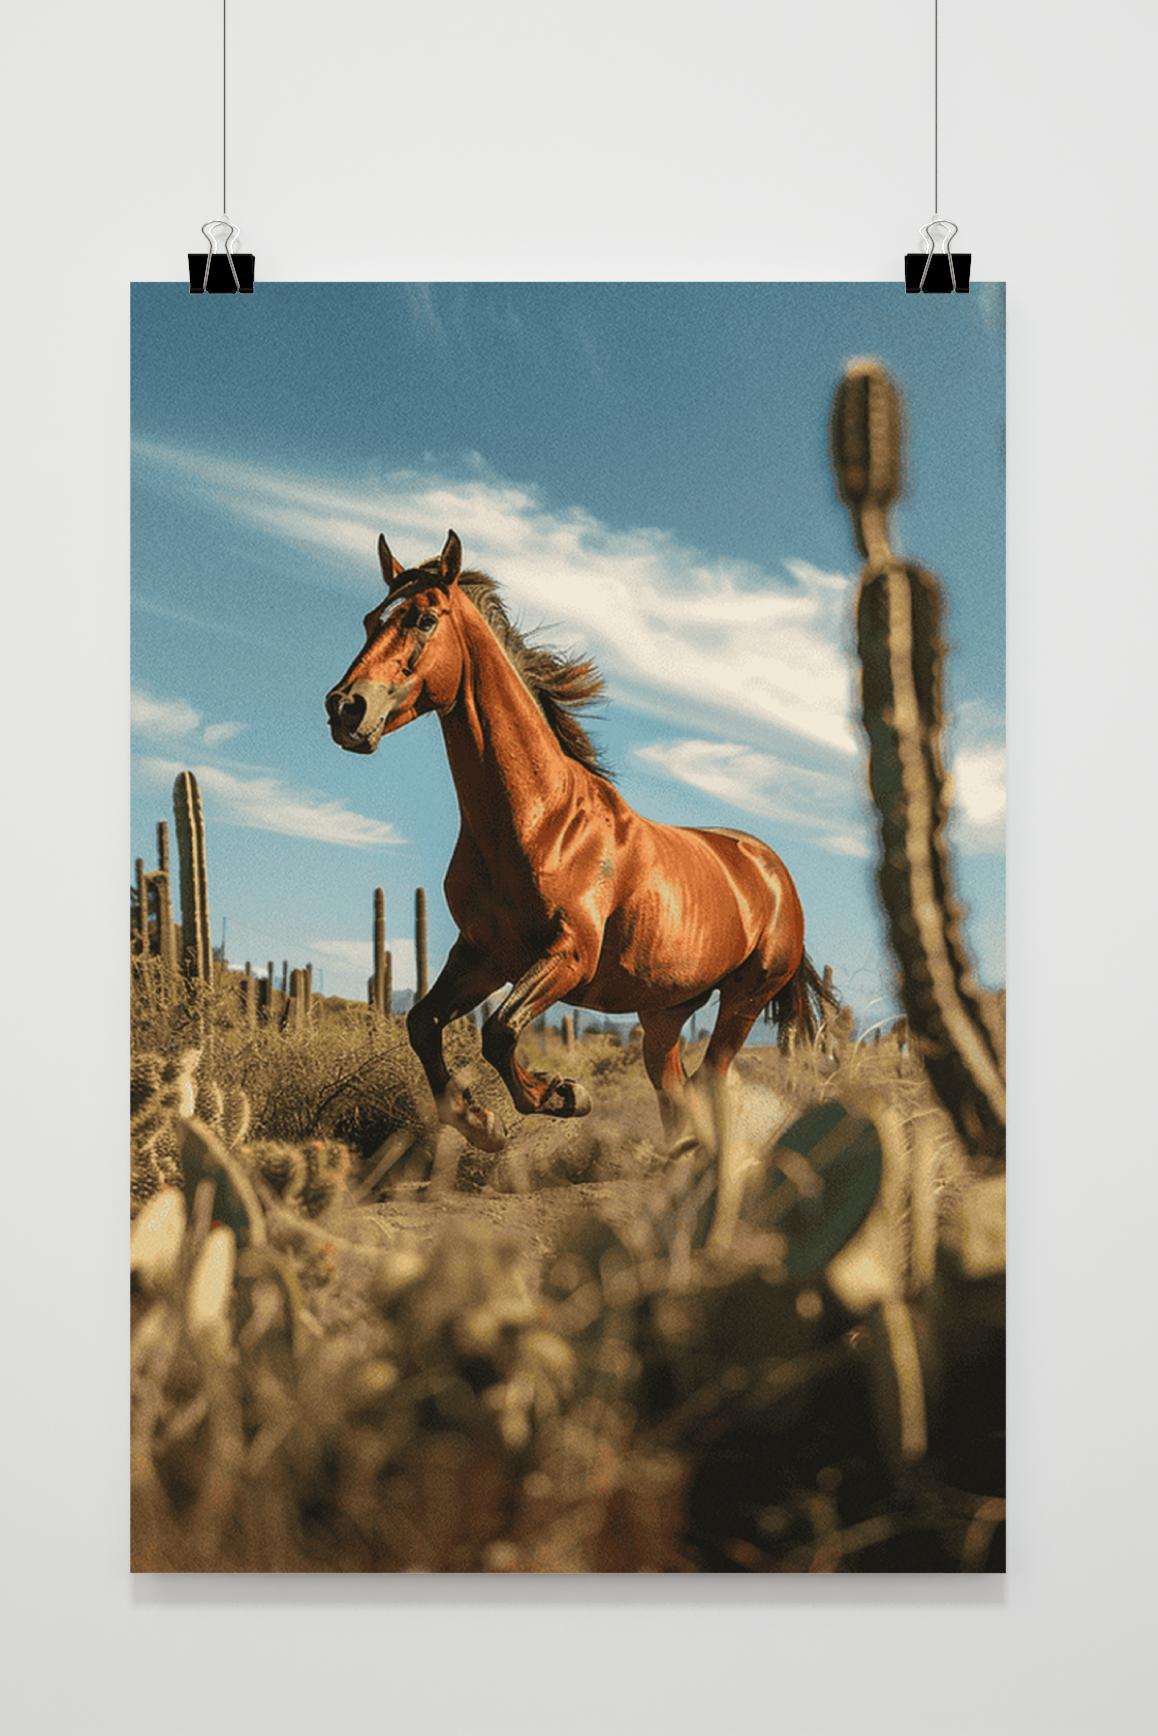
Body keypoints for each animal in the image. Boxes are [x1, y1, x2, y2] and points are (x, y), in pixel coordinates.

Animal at [326, 530, 829, 1153]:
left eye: (424, 618)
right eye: (370, 620)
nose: (345, 708)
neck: (539, 821)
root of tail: (772, 870)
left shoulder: (567, 956)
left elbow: (500, 1030)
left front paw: (563, 1095)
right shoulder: (483, 954)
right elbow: (424, 1024)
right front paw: (481, 1123)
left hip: (744, 998)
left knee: (709, 1080)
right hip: (663, 1014)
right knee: (675, 1090)